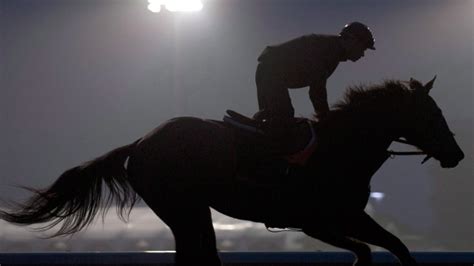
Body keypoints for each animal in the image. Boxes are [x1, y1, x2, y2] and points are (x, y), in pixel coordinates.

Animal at [0, 76, 464, 264]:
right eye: (432, 114)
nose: (457, 154)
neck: (341, 149)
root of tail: (141, 143)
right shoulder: (326, 220)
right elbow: (392, 247)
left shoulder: (329, 223)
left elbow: (378, 250)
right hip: (184, 208)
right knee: (200, 256)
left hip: (188, 213)